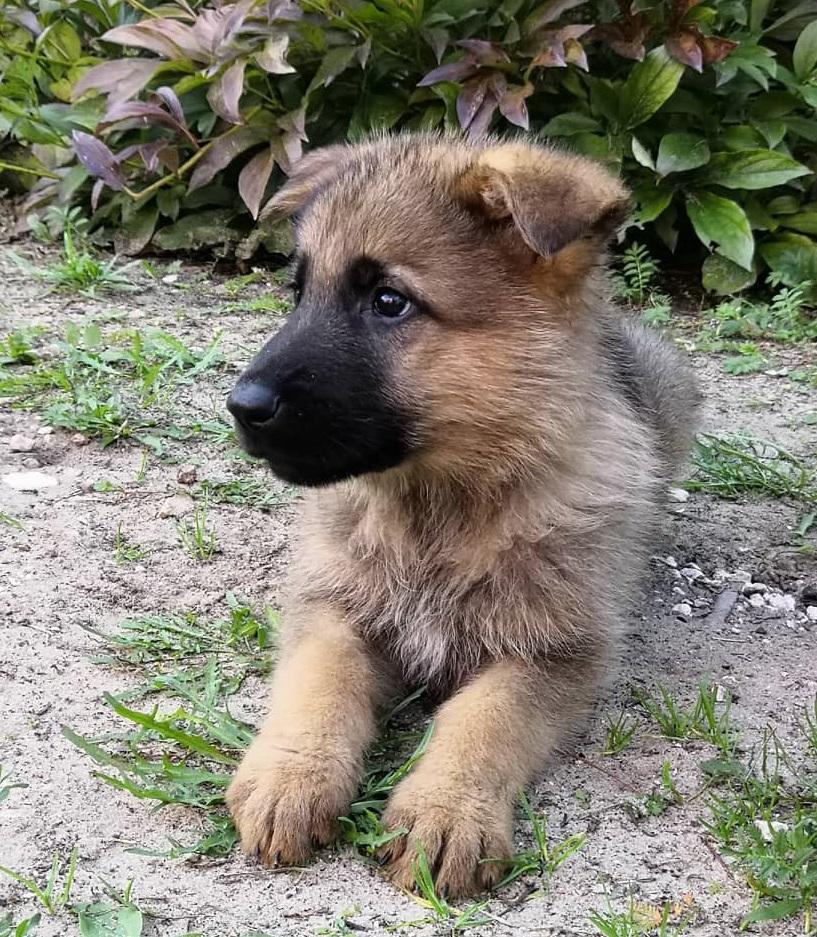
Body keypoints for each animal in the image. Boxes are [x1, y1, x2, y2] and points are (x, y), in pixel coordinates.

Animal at [225, 133, 700, 900]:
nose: (240, 407)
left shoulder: (555, 652)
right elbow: (320, 682)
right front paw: (291, 772)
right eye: (299, 293)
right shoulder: (331, 606)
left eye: (388, 301)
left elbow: (485, 718)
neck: (440, 510)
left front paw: (446, 807)